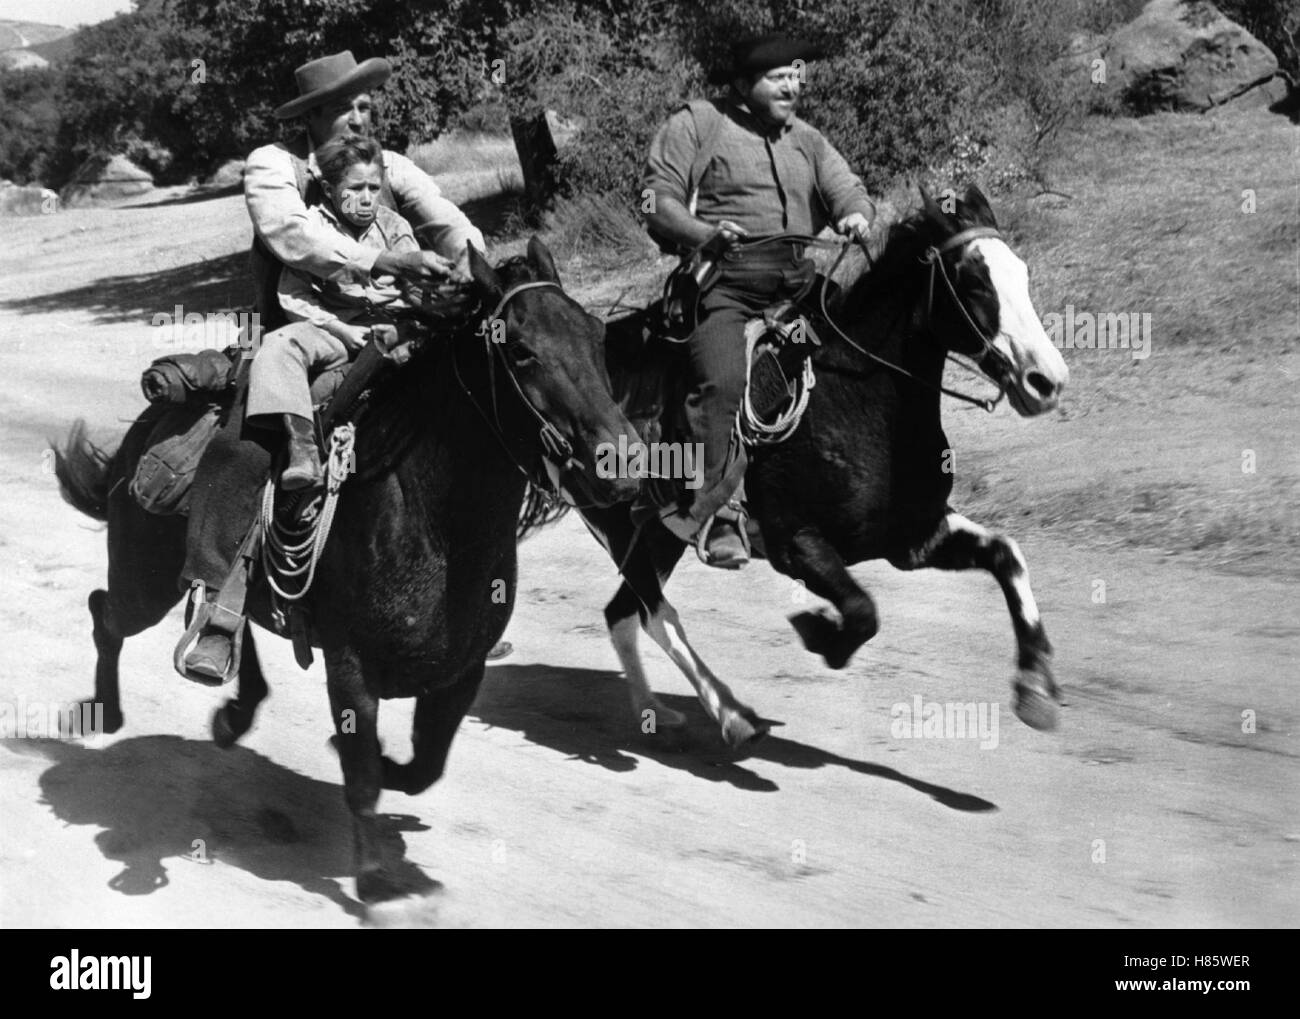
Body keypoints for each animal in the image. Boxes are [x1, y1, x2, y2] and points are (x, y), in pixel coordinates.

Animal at [53, 240, 642, 909]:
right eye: (519, 349)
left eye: (597, 337)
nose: (621, 467)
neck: (429, 516)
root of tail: (147, 426)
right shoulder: (351, 667)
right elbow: (362, 774)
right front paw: (377, 881)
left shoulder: (461, 672)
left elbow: (424, 765)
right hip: (144, 582)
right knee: (105, 614)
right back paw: (105, 712)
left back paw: (230, 706)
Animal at [577, 187, 1066, 748]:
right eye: (973, 280)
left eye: (1021, 273)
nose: (1047, 381)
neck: (856, 398)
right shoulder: (797, 543)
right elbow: (862, 611)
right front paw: (819, 633)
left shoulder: (914, 538)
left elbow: (1007, 557)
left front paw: (1035, 691)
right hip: (629, 534)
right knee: (654, 614)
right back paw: (731, 715)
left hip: (661, 539)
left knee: (623, 615)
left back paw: (653, 710)